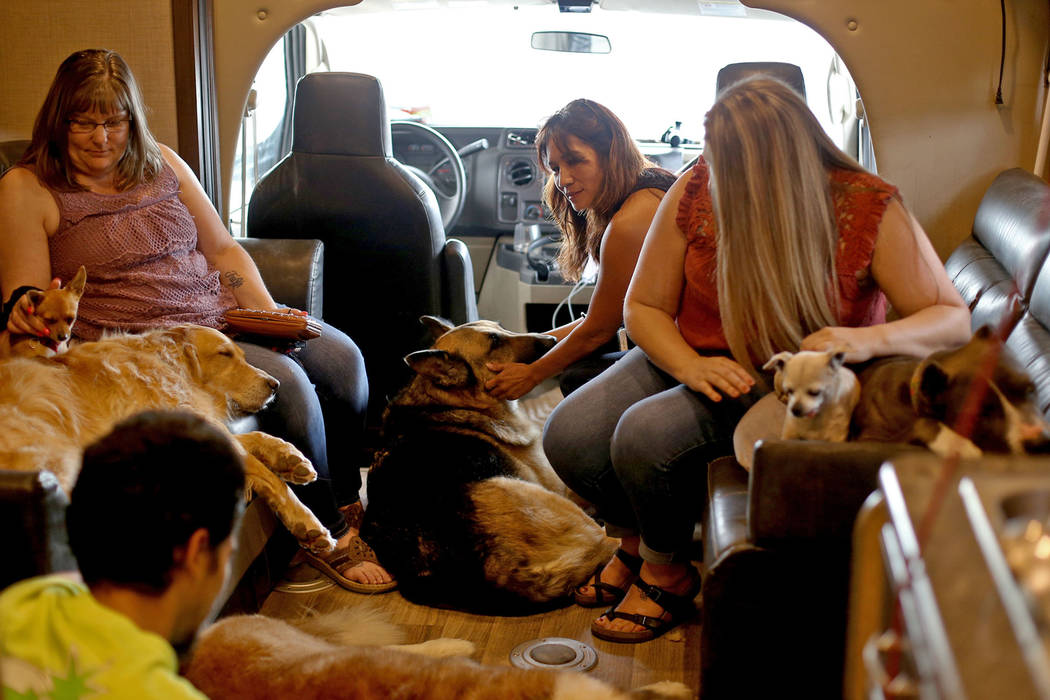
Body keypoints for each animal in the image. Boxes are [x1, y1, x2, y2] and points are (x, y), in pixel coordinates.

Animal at [0, 325, 331, 554]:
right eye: (224, 354)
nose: (275, 385)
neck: (170, 365)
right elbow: (267, 475)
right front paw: (306, 522)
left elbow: (255, 436)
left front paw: (290, 459)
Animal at [852, 325, 1050, 457]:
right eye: (980, 415)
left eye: (1030, 389)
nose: (1040, 443)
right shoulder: (871, 440)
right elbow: (925, 423)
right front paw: (963, 447)